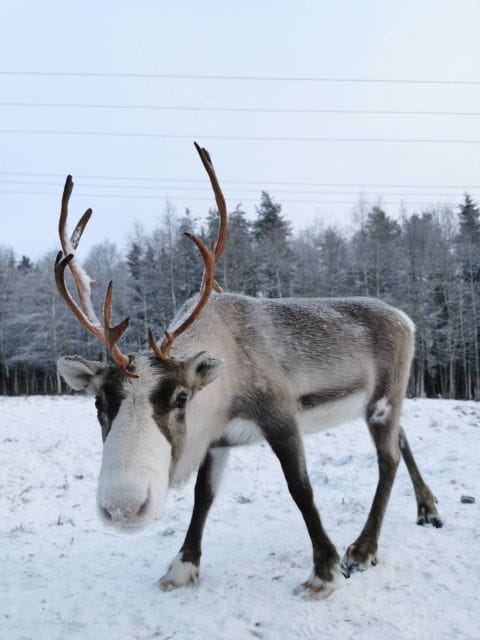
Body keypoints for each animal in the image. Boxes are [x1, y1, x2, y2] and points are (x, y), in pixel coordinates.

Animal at [55, 142, 442, 600]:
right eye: (99, 401)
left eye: (181, 398)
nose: (123, 507)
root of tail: (407, 319)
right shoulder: (218, 440)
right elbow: (203, 497)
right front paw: (182, 568)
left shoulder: (281, 417)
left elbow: (301, 489)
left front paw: (324, 572)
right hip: (387, 401)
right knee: (403, 439)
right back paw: (428, 510)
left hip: (382, 399)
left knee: (388, 458)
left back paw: (363, 550)